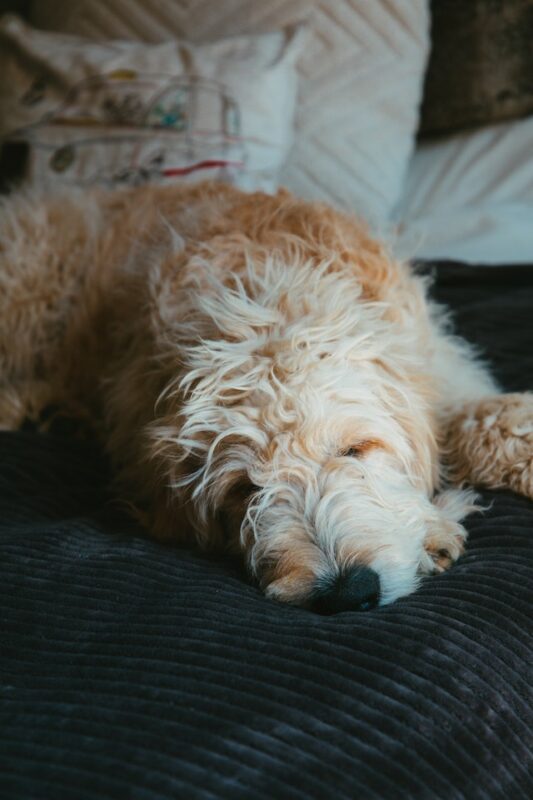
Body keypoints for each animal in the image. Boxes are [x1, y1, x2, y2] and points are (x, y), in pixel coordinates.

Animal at [0, 180, 528, 608]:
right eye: (243, 488)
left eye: (355, 450)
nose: (349, 591)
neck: (271, 302)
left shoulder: (435, 360)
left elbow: (488, 419)